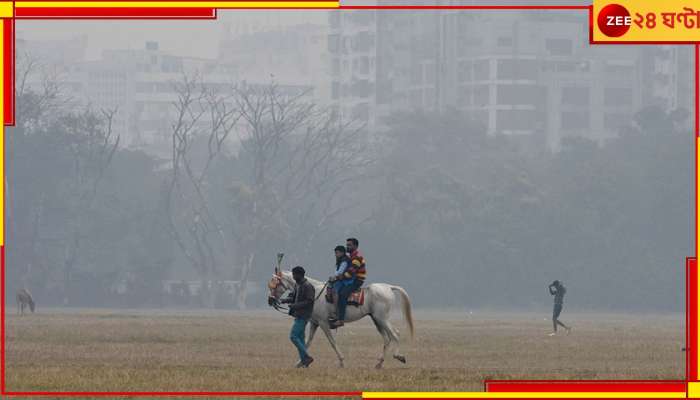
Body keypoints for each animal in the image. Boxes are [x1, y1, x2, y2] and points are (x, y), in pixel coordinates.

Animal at [266, 268, 410, 368]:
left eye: (275, 284)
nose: (270, 300)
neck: (315, 292)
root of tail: (388, 287)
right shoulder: (314, 323)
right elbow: (307, 342)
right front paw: (300, 362)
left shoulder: (323, 323)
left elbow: (332, 341)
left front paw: (341, 362)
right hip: (376, 319)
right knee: (386, 338)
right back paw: (379, 364)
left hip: (382, 318)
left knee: (395, 334)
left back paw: (399, 356)